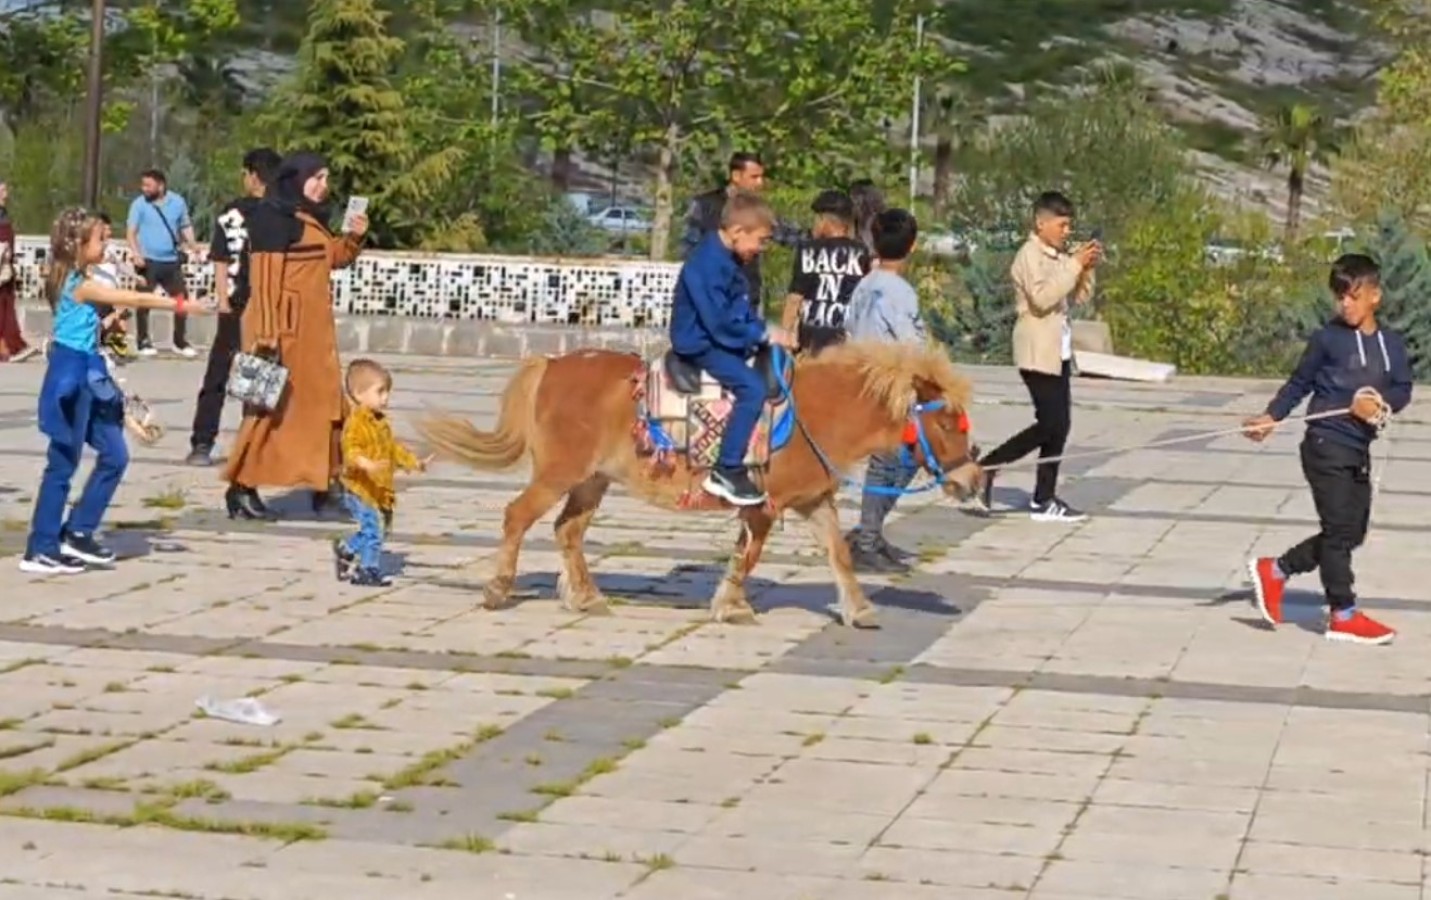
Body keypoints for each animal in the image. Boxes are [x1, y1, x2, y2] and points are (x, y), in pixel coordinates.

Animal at [414, 340, 984, 629]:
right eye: (946, 421)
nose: (972, 479)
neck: (817, 413)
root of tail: (550, 364)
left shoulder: (814, 500)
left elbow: (837, 555)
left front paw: (860, 608)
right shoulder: (764, 505)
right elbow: (747, 557)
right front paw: (732, 606)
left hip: (592, 480)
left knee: (567, 532)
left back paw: (588, 598)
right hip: (561, 472)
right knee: (518, 516)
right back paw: (498, 589)